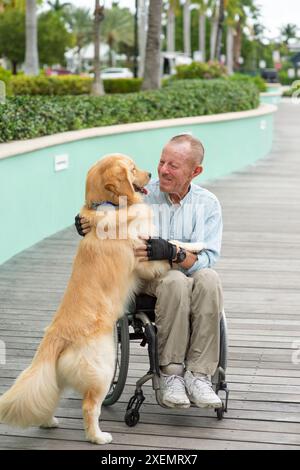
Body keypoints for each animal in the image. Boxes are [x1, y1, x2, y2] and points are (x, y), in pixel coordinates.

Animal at [0, 153, 170, 444]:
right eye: (132, 168)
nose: (150, 173)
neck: (111, 205)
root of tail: (56, 335)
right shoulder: (144, 258)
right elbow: (170, 253)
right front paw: (185, 251)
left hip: (58, 375)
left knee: (50, 395)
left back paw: (49, 422)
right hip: (103, 368)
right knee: (90, 406)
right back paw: (98, 436)